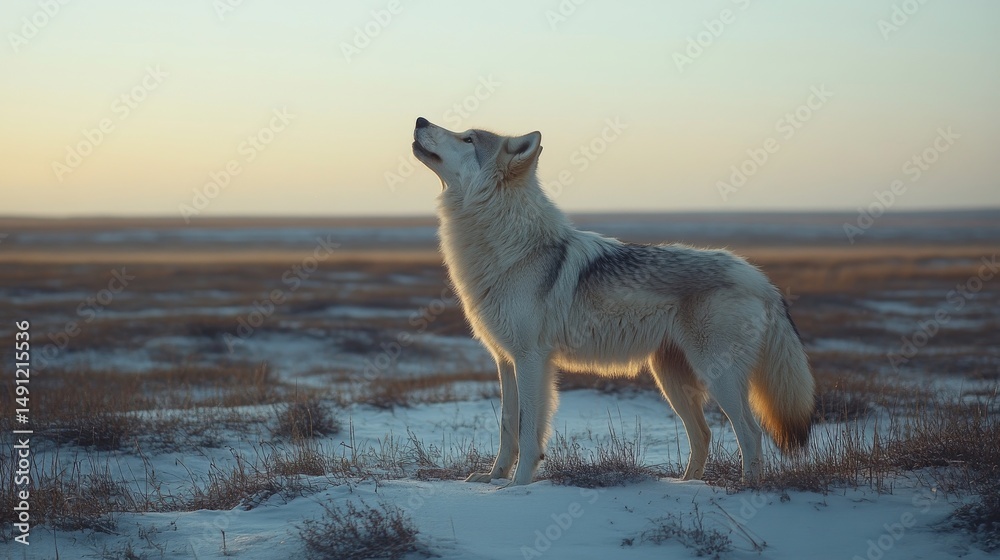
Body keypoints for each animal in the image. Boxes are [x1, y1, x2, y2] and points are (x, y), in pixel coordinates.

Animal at [412, 116, 814, 486]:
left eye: (468, 138)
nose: (419, 119)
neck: (510, 246)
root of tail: (760, 278)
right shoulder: (506, 361)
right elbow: (507, 428)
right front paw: (492, 479)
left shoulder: (531, 360)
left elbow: (528, 434)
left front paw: (519, 486)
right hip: (671, 381)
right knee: (704, 434)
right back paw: (687, 484)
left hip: (718, 379)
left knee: (751, 432)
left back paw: (747, 489)